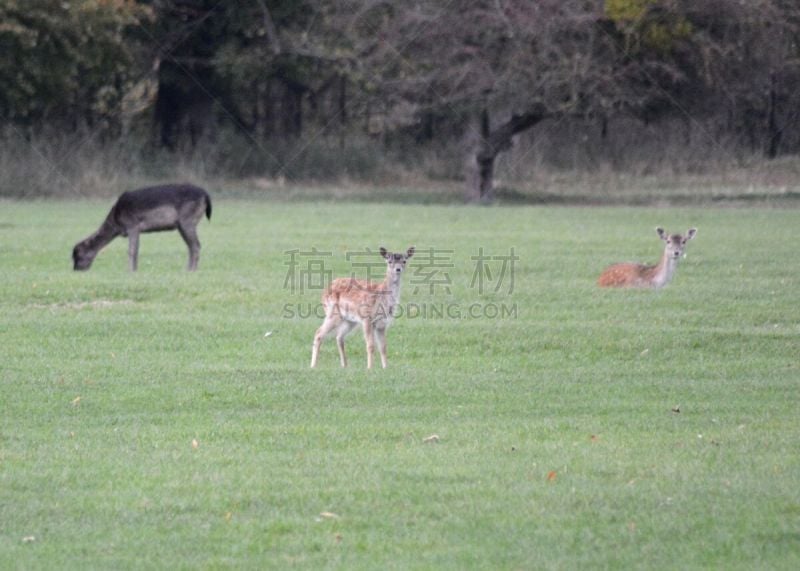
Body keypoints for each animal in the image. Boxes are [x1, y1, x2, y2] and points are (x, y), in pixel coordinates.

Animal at [73, 183, 211, 272]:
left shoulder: (132, 225)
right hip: (182, 225)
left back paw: (192, 270)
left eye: (78, 255)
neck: (116, 222)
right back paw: (187, 269)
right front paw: (135, 270)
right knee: (191, 246)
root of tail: (206, 195)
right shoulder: (136, 229)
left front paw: (130, 271)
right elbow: (136, 249)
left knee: (196, 245)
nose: (76, 270)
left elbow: (131, 250)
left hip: (187, 221)